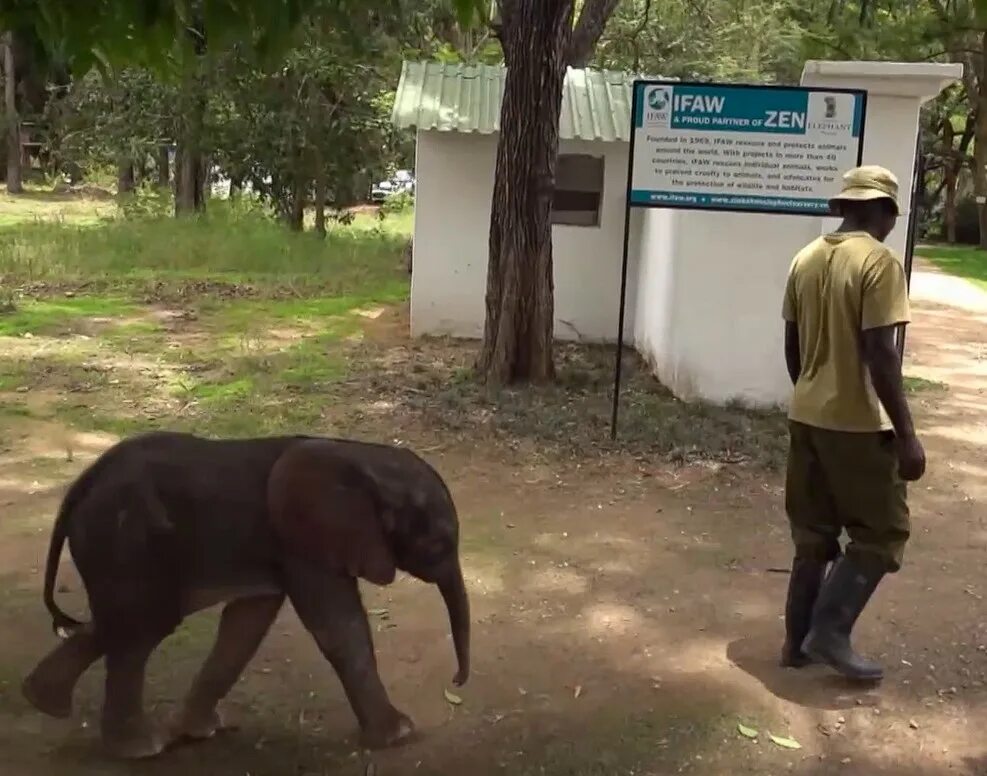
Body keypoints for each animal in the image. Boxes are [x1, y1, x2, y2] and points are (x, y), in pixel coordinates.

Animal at [21, 434, 470, 760]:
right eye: (439, 546)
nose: (455, 681)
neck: (364, 457)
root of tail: (82, 483)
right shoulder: (302, 541)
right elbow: (338, 627)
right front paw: (401, 734)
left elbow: (246, 625)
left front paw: (199, 731)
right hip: (124, 539)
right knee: (140, 629)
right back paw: (140, 748)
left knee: (119, 623)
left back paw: (42, 700)